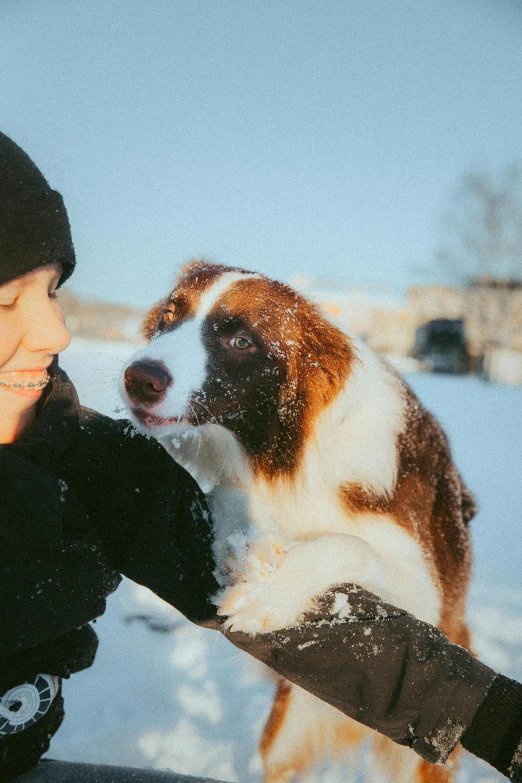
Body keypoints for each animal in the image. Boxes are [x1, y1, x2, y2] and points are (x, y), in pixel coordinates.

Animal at [120, 264, 474, 783]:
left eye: (241, 341)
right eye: (169, 315)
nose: (138, 378)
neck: (285, 458)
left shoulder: (428, 598)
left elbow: (350, 544)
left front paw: (269, 593)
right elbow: (231, 495)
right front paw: (247, 547)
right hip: (284, 735)